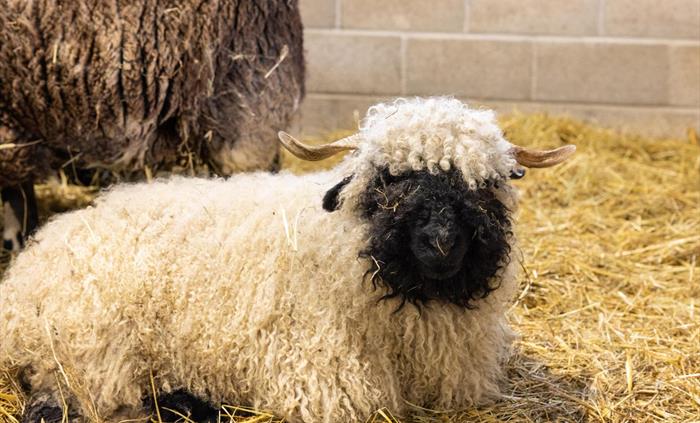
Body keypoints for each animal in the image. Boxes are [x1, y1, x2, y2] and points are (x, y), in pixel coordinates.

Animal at [0, 97, 576, 423]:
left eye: (486, 184)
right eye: (389, 178)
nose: (441, 243)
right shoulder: (322, 384)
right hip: (92, 352)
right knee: (66, 404)